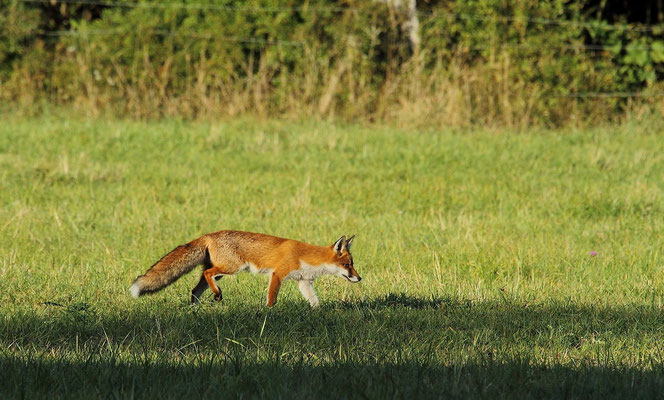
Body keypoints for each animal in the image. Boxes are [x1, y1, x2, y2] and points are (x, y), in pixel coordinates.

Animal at [127, 230, 360, 308]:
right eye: (348, 265)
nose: (359, 278)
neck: (306, 256)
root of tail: (209, 234)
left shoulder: (303, 281)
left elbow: (315, 301)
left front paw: (318, 314)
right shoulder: (278, 274)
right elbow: (271, 298)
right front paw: (269, 312)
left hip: (221, 272)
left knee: (195, 289)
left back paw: (195, 308)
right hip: (231, 268)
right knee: (207, 274)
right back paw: (217, 296)